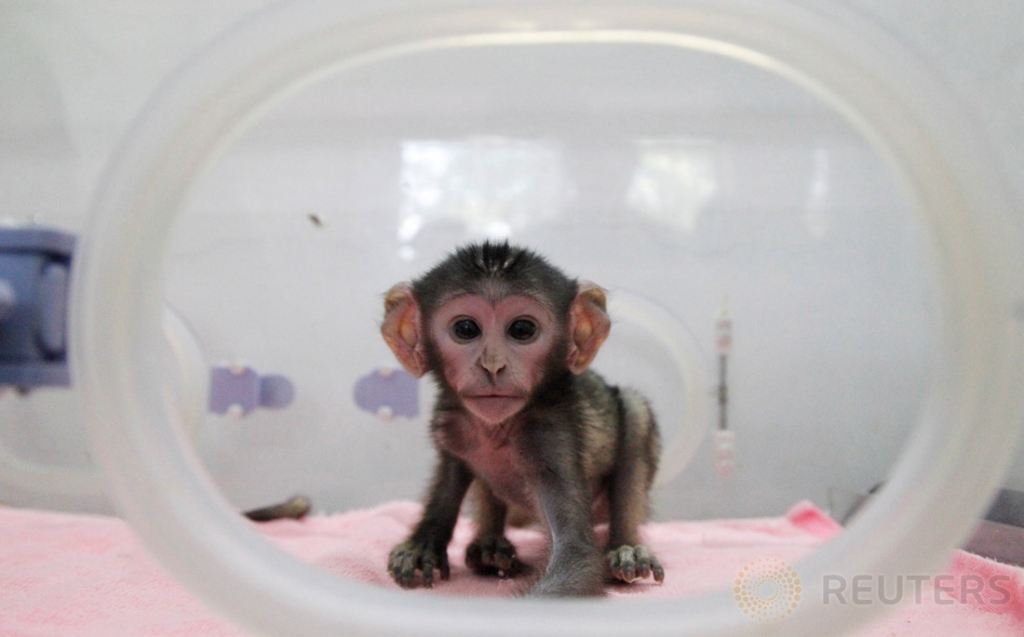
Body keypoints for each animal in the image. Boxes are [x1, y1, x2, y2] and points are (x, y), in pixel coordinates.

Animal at [380, 241, 659, 598]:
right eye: (465, 329)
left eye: (522, 330)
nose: (493, 366)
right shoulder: (451, 424)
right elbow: (452, 476)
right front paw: (421, 548)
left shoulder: (550, 433)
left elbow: (577, 554)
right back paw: (490, 547)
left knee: (635, 411)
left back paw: (627, 549)